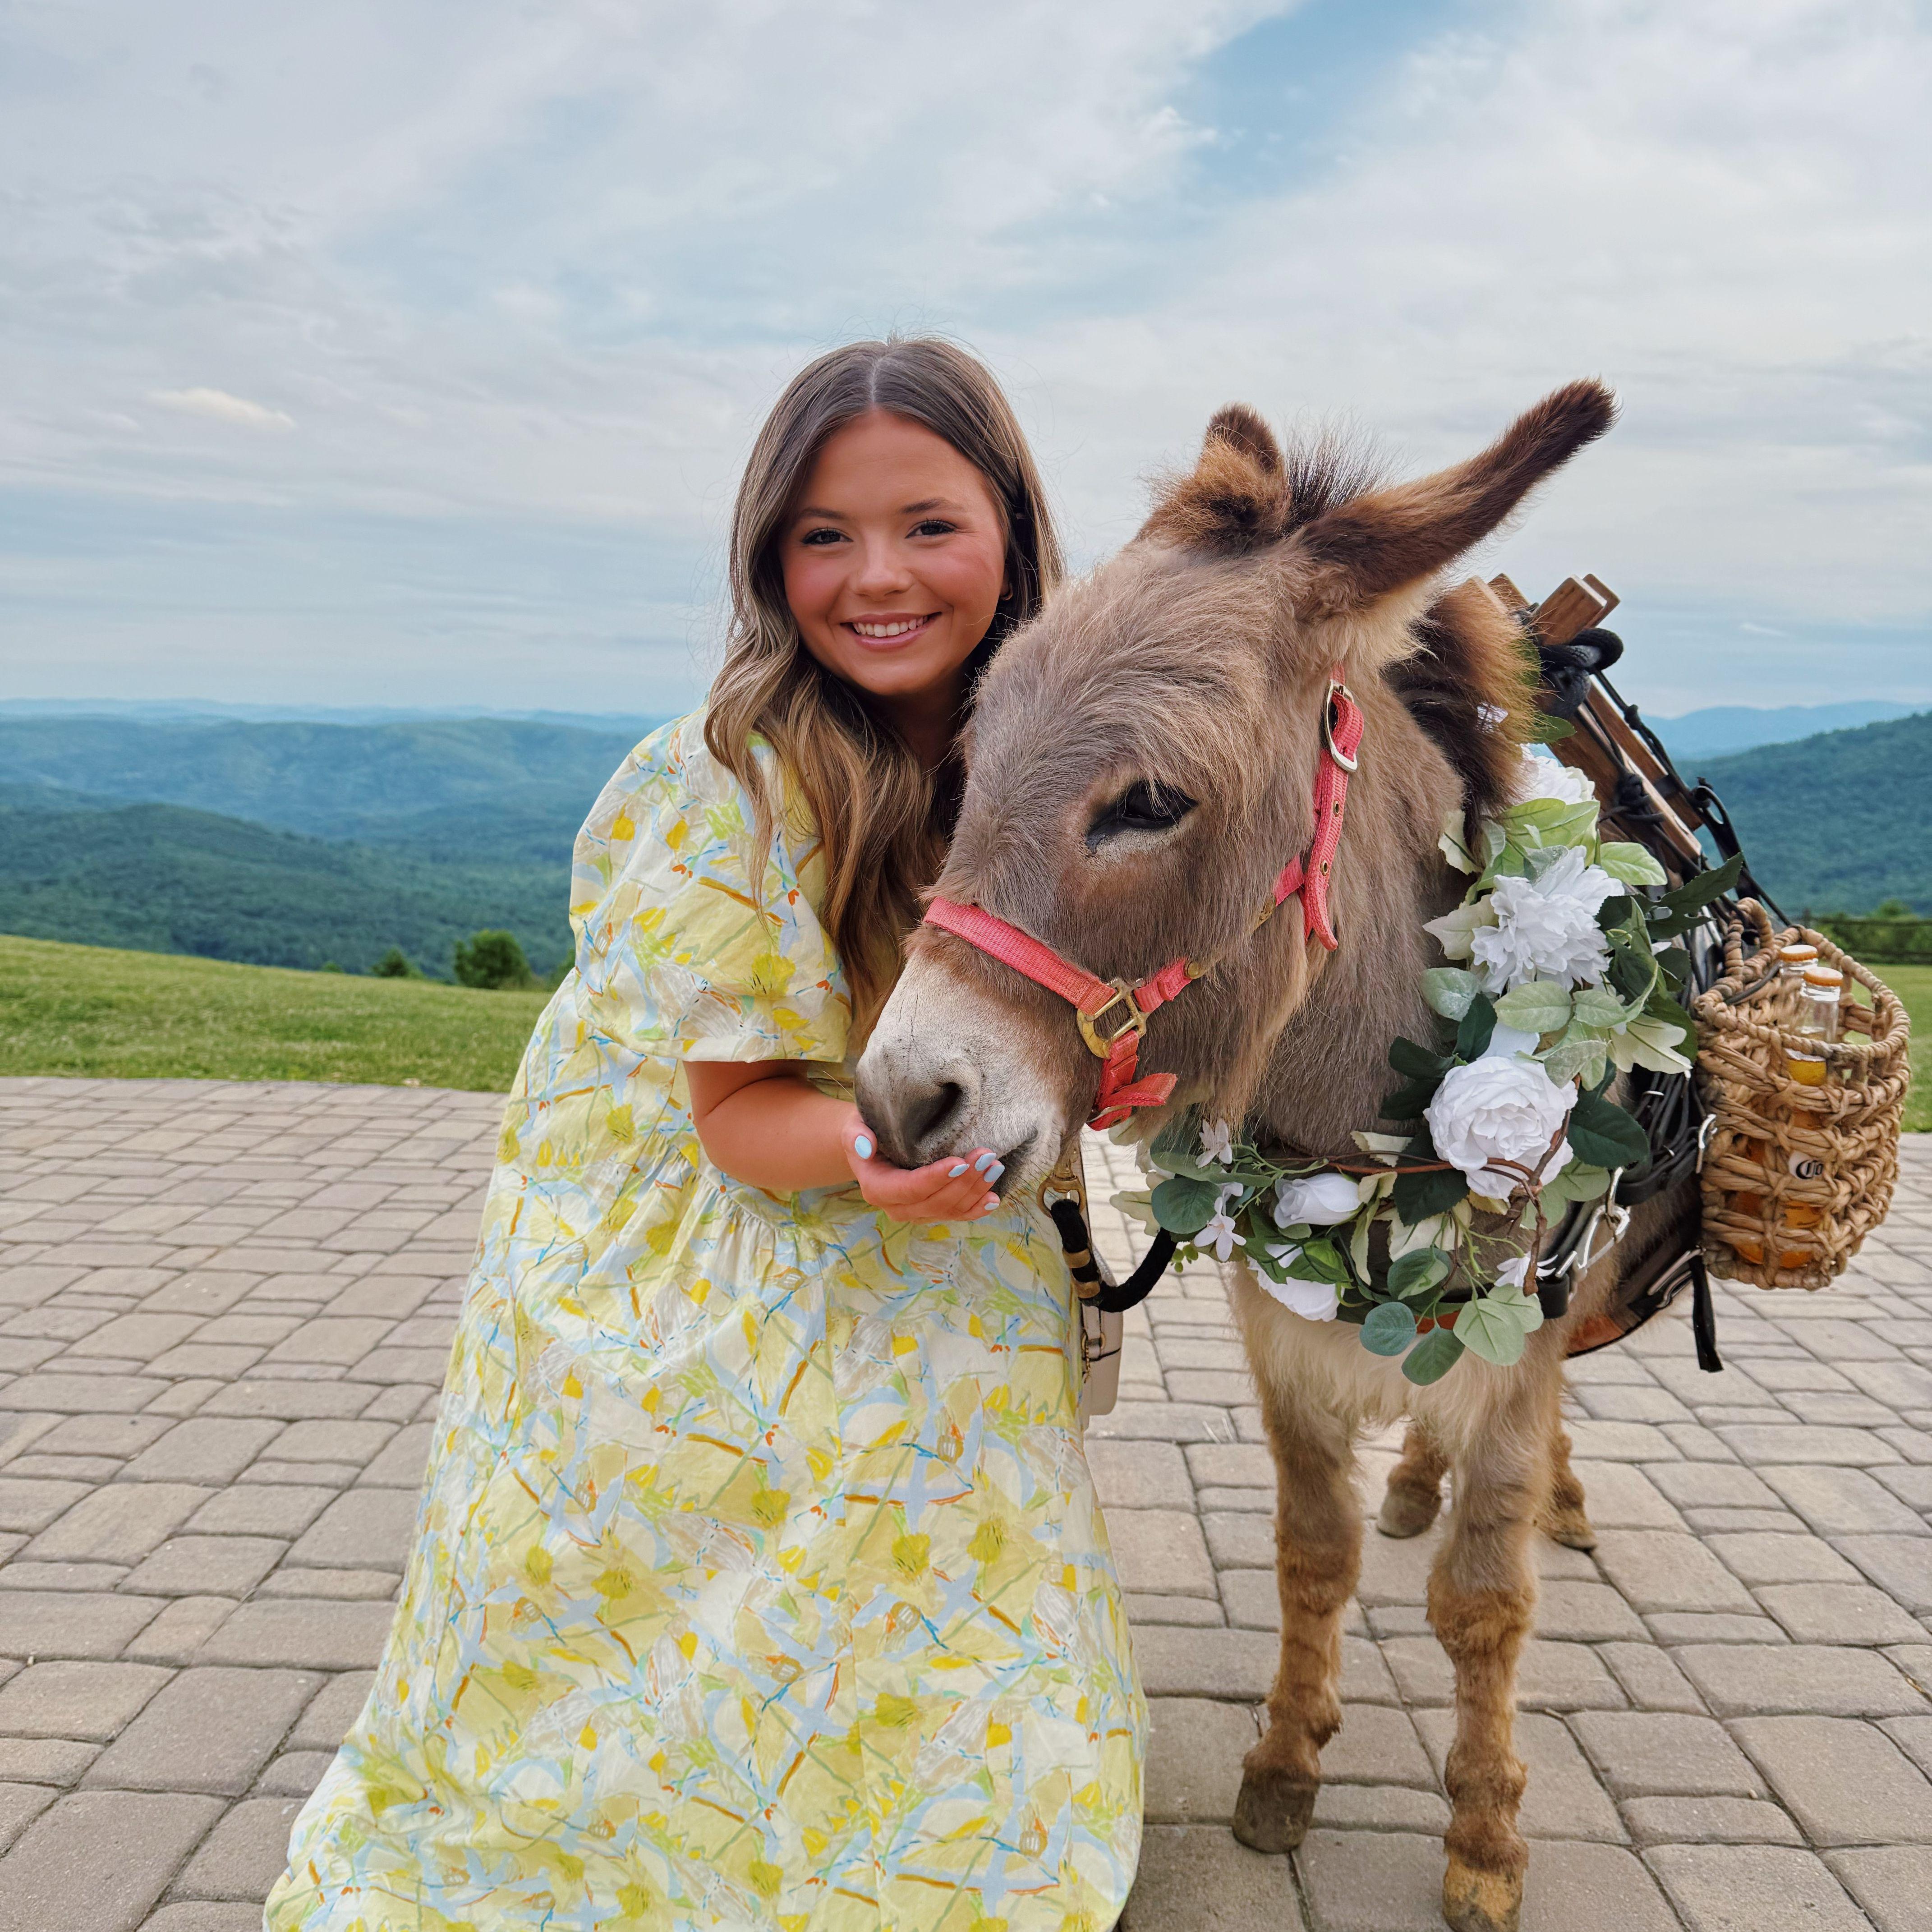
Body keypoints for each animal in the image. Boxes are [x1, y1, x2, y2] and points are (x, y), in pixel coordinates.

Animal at [857, 380, 1695, 1932]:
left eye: (1147, 803)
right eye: (970, 769)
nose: (900, 1101)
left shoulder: (1518, 1336)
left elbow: (1484, 1602)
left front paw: (1484, 1839)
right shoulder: (1284, 1341)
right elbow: (1317, 1557)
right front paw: (1286, 1763)